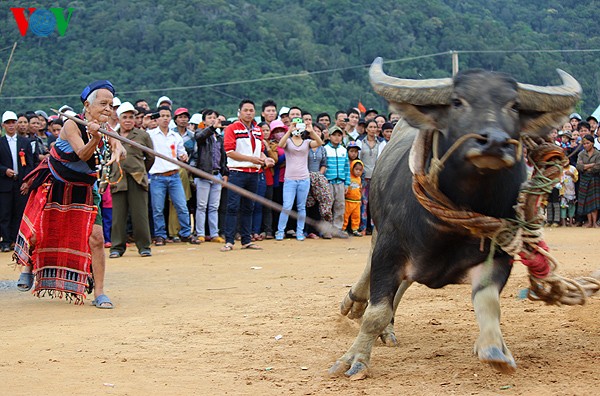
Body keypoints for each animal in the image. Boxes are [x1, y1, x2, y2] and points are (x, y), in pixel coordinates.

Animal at [328, 57, 580, 378]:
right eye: (458, 102)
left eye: (513, 105)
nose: (494, 142)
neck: (449, 227)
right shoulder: (390, 246)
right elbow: (376, 310)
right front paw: (354, 359)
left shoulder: (498, 255)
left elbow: (489, 304)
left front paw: (495, 349)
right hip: (377, 228)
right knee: (371, 272)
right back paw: (355, 304)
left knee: (404, 284)